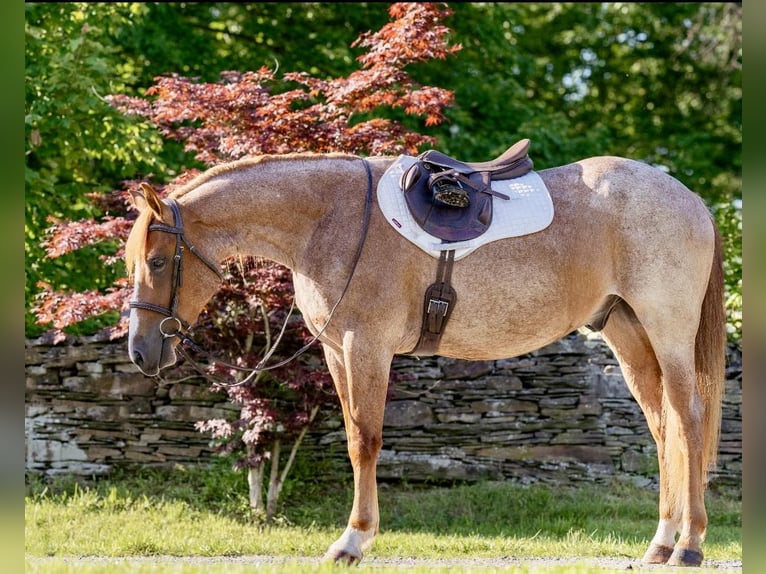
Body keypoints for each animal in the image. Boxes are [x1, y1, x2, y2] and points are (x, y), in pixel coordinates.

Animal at [124, 151, 728, 568]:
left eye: (157, 260)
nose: (140, 350)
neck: (330, 219)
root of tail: (691, 200)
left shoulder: (365, 347)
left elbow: (365, 441)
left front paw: (353, 540)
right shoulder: (338, 351)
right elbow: (354, 436)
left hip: (668, 333)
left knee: (689, 422)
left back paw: (690, 546)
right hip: (629, 336)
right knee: (663, 428)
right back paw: (660, 543)